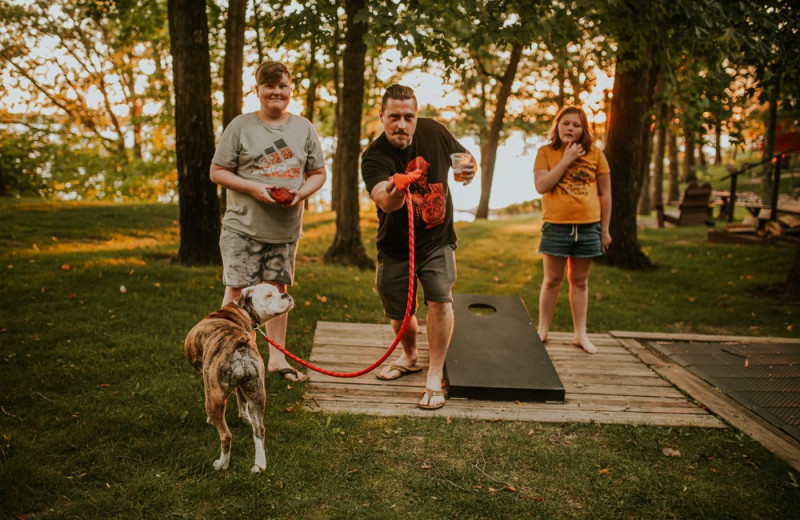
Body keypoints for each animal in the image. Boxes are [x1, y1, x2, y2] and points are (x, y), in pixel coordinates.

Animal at [184, 282, 294, 474]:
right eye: (269, 295)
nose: (285, 295)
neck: (242, 310)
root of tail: (240, 346)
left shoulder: (211, 388)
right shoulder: (243, 388)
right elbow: (242, 403)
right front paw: (245, 418)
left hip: (214, 399)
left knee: (226, 435)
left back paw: (222, 464)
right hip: (256, 390)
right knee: (259, 430)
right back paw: (259, 465)